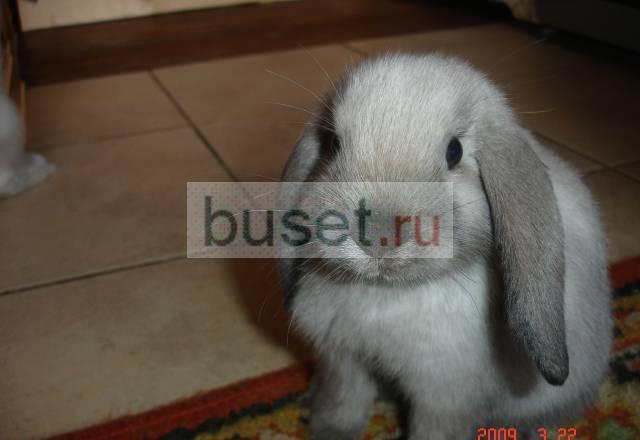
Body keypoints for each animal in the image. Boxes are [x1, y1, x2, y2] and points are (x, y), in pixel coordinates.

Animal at [278, 53, 612, 440]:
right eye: (333, 144)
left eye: (455, 152)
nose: (378, 235)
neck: (385, 293)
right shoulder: (344, 359)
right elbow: (344, 400)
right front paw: (329, 431)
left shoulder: (445, 396)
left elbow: (433, 430)